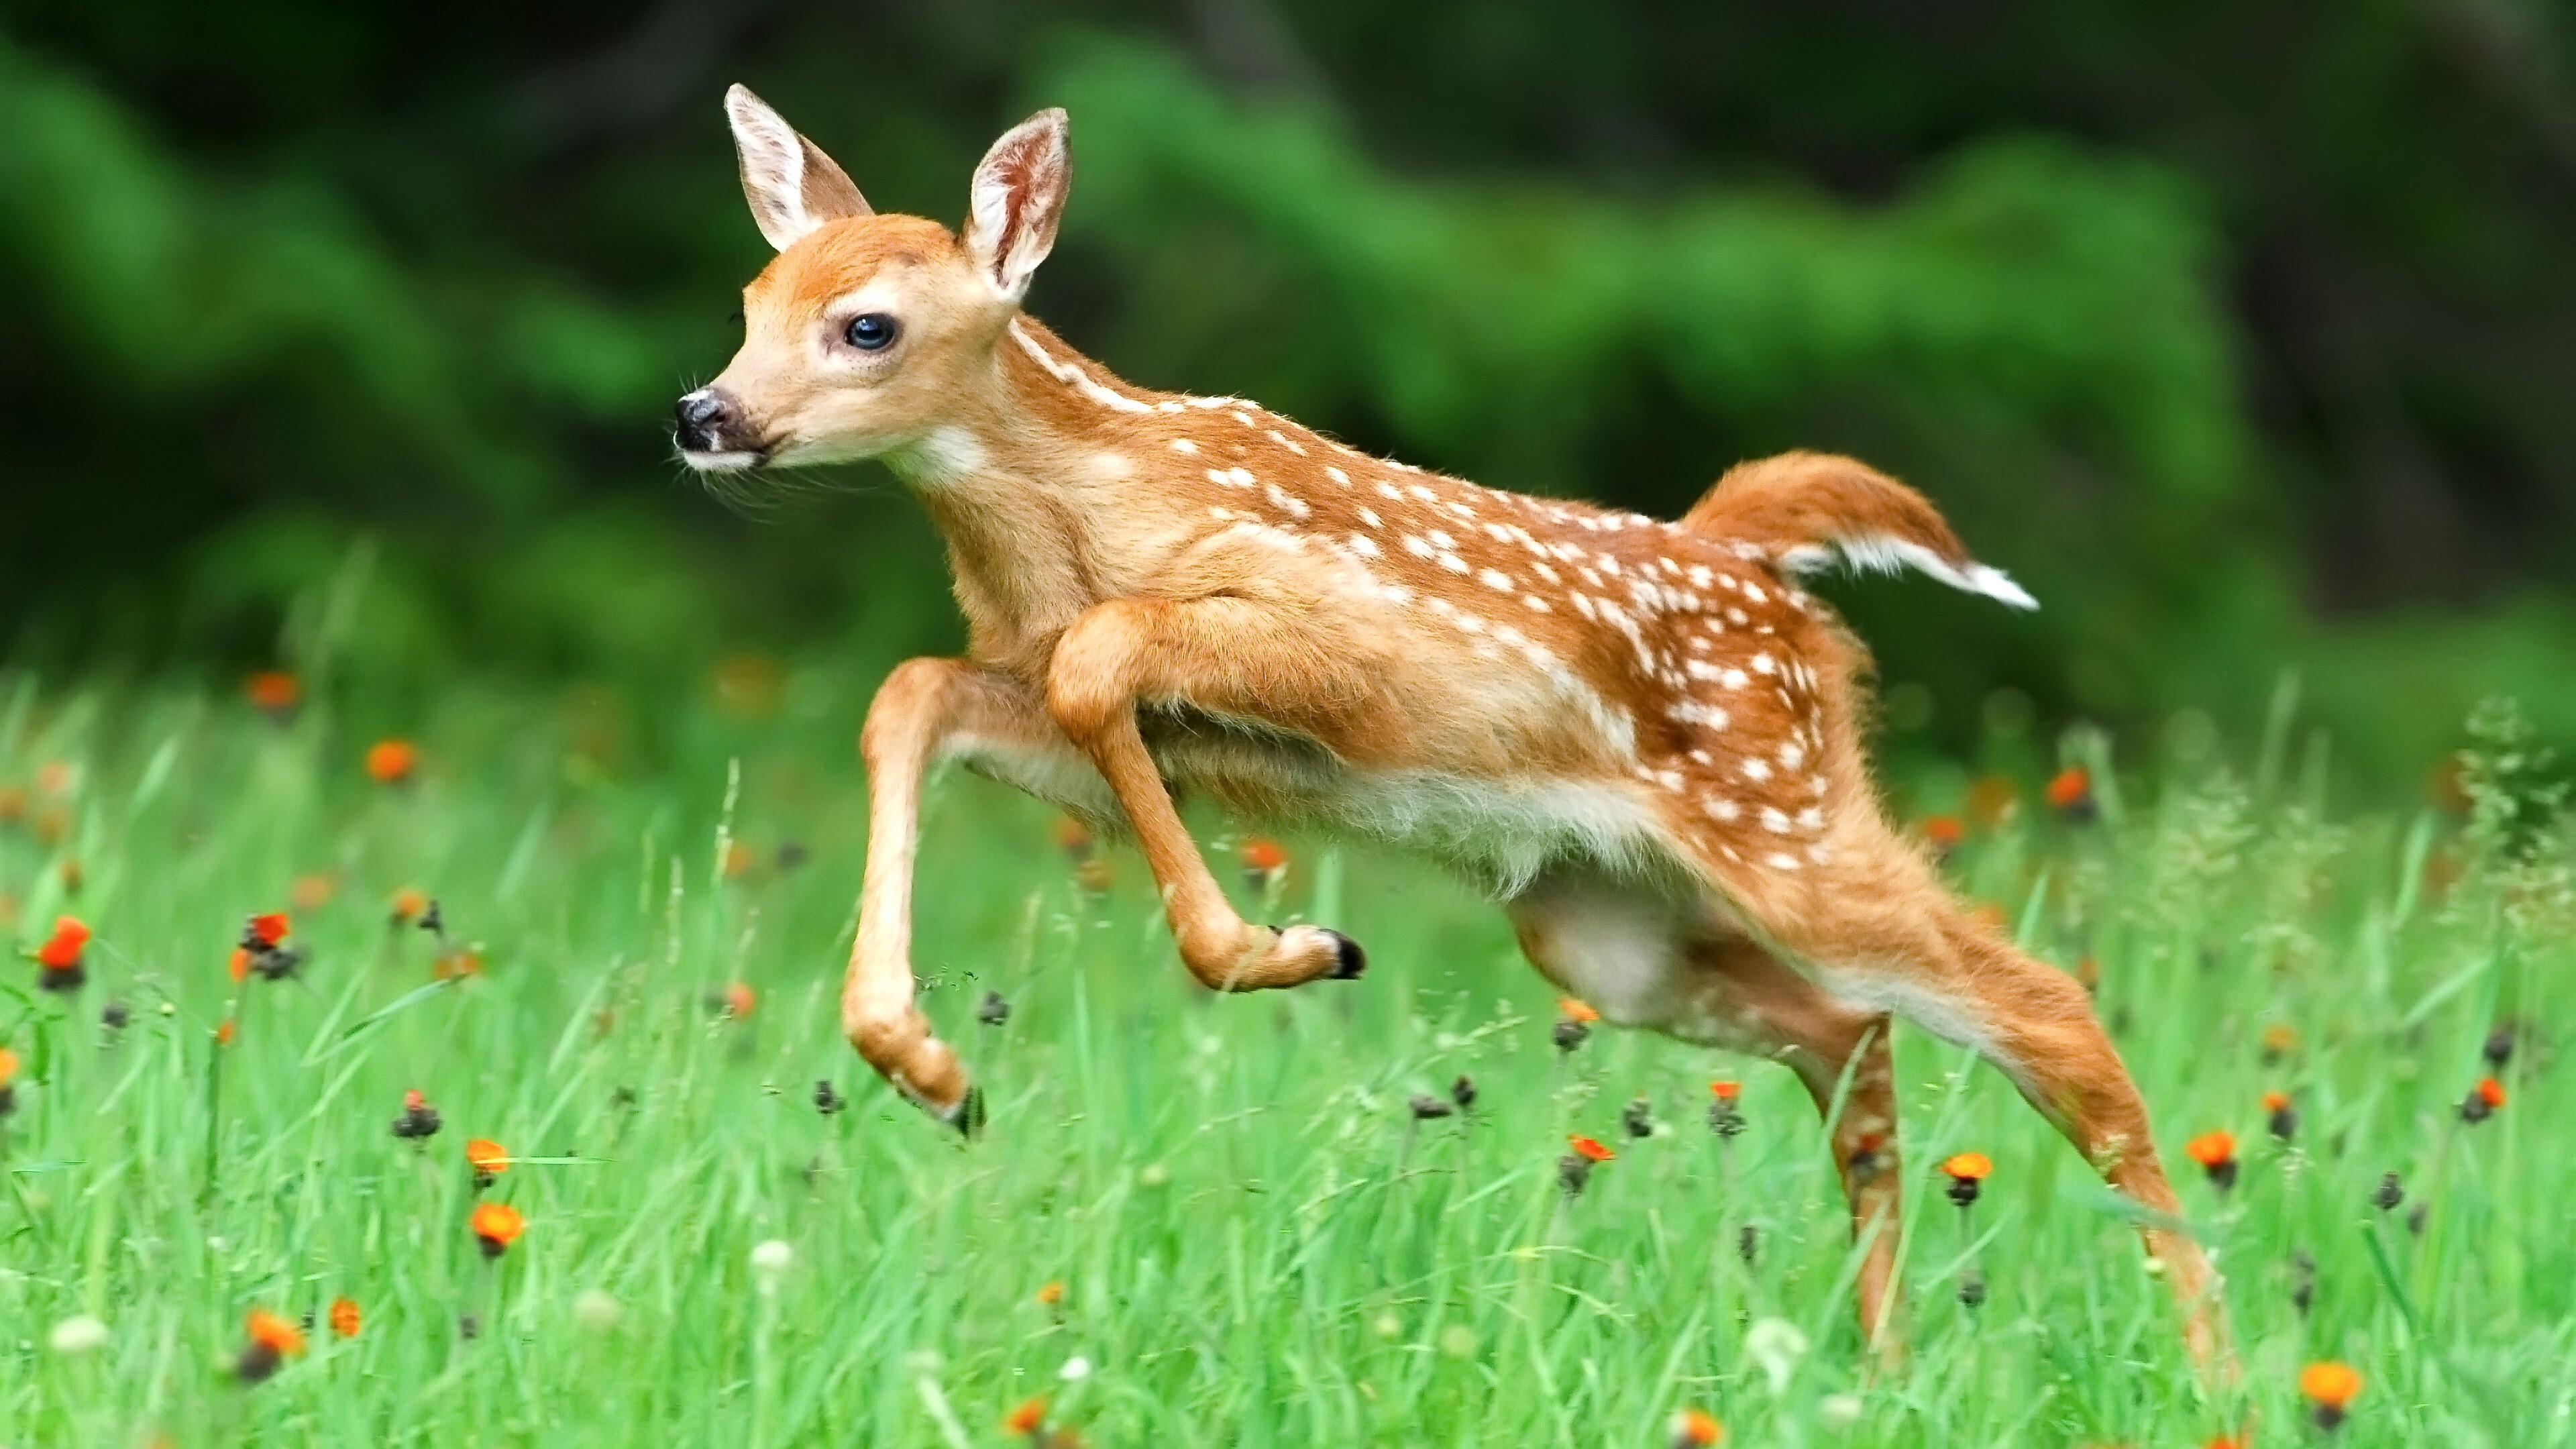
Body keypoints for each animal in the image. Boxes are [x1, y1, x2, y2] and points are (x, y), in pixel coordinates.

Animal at [674, 86, 2228, 1371]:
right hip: (1606, 922)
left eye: (867, 324)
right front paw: (933, 1072)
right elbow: (916, 690)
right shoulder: (1088, 703)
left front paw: (1282, 947)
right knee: (1848, 1034)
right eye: (751, 297)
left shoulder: (1340, 648)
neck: (1075, 520)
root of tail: (1756, 562)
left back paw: (2212, 1363)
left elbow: (1103, 659)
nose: (705, 412)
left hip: (1784, 813)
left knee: (2047, 1011)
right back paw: (1884, 1363)